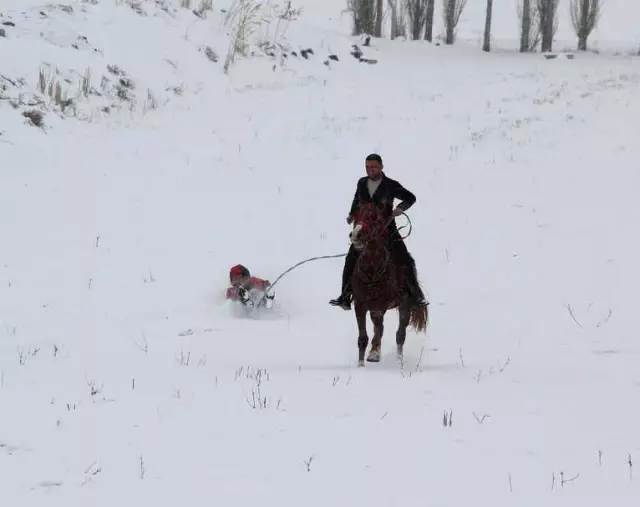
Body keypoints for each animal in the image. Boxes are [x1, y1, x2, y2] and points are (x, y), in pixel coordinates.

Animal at [348, 203, 428, 370]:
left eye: (372, 217)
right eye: (355, 215)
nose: (355, 235)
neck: (372, 270)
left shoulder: (380, 306)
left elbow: (379, 330)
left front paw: (374, 354)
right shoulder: (360, 305)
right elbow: (363, 337)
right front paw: (361, 365)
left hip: (405, 306)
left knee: (400, 335)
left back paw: (398, 361)